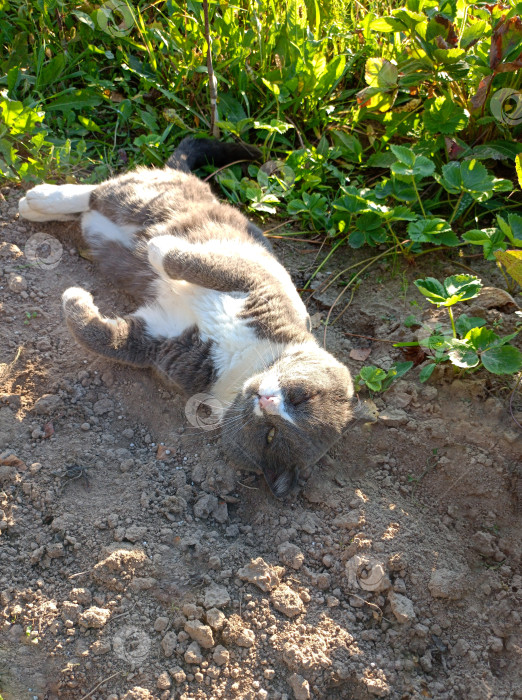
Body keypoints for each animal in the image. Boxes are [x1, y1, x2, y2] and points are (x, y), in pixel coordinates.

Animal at [19, 138, 354, 498]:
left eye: (271, 435)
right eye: (301, 396)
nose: (267, 400)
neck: (245, 358)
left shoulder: (164, 341)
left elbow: (107, 339)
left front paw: (75, 297)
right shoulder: (255, 279)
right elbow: (188, 261)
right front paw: (157, 245)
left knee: (94, 203)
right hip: (147, 197)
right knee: (98, 191)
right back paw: (40, 198)